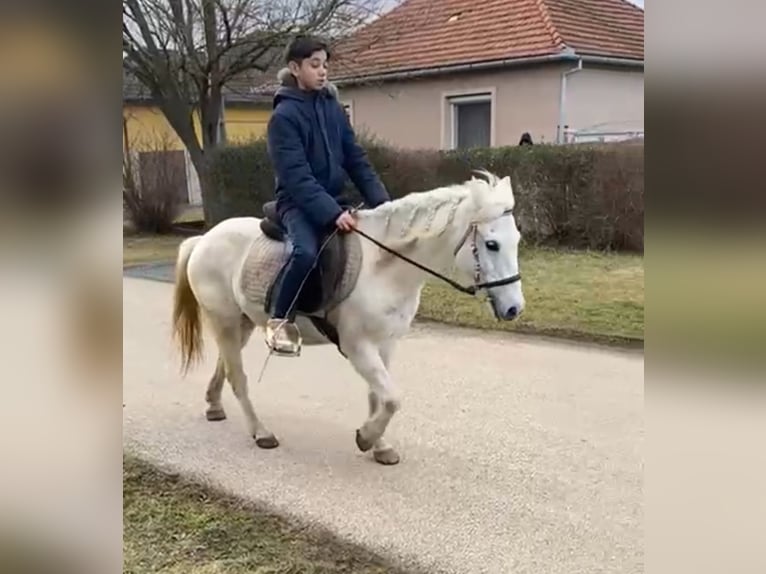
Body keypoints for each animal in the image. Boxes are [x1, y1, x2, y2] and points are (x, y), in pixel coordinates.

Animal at [171, 170, 524, 464]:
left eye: (517, 241)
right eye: (492, 244)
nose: (514, 309)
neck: (384, 267)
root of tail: (203, 239)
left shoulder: (385, 344)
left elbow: (378, 396)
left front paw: (380, 446)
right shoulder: (358, 347)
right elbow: (392, 398)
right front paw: (366, 438)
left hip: (241, 323)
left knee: (225, 365)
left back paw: (214, 406)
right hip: (225, 321)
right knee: (238, 378)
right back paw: (261, 432)